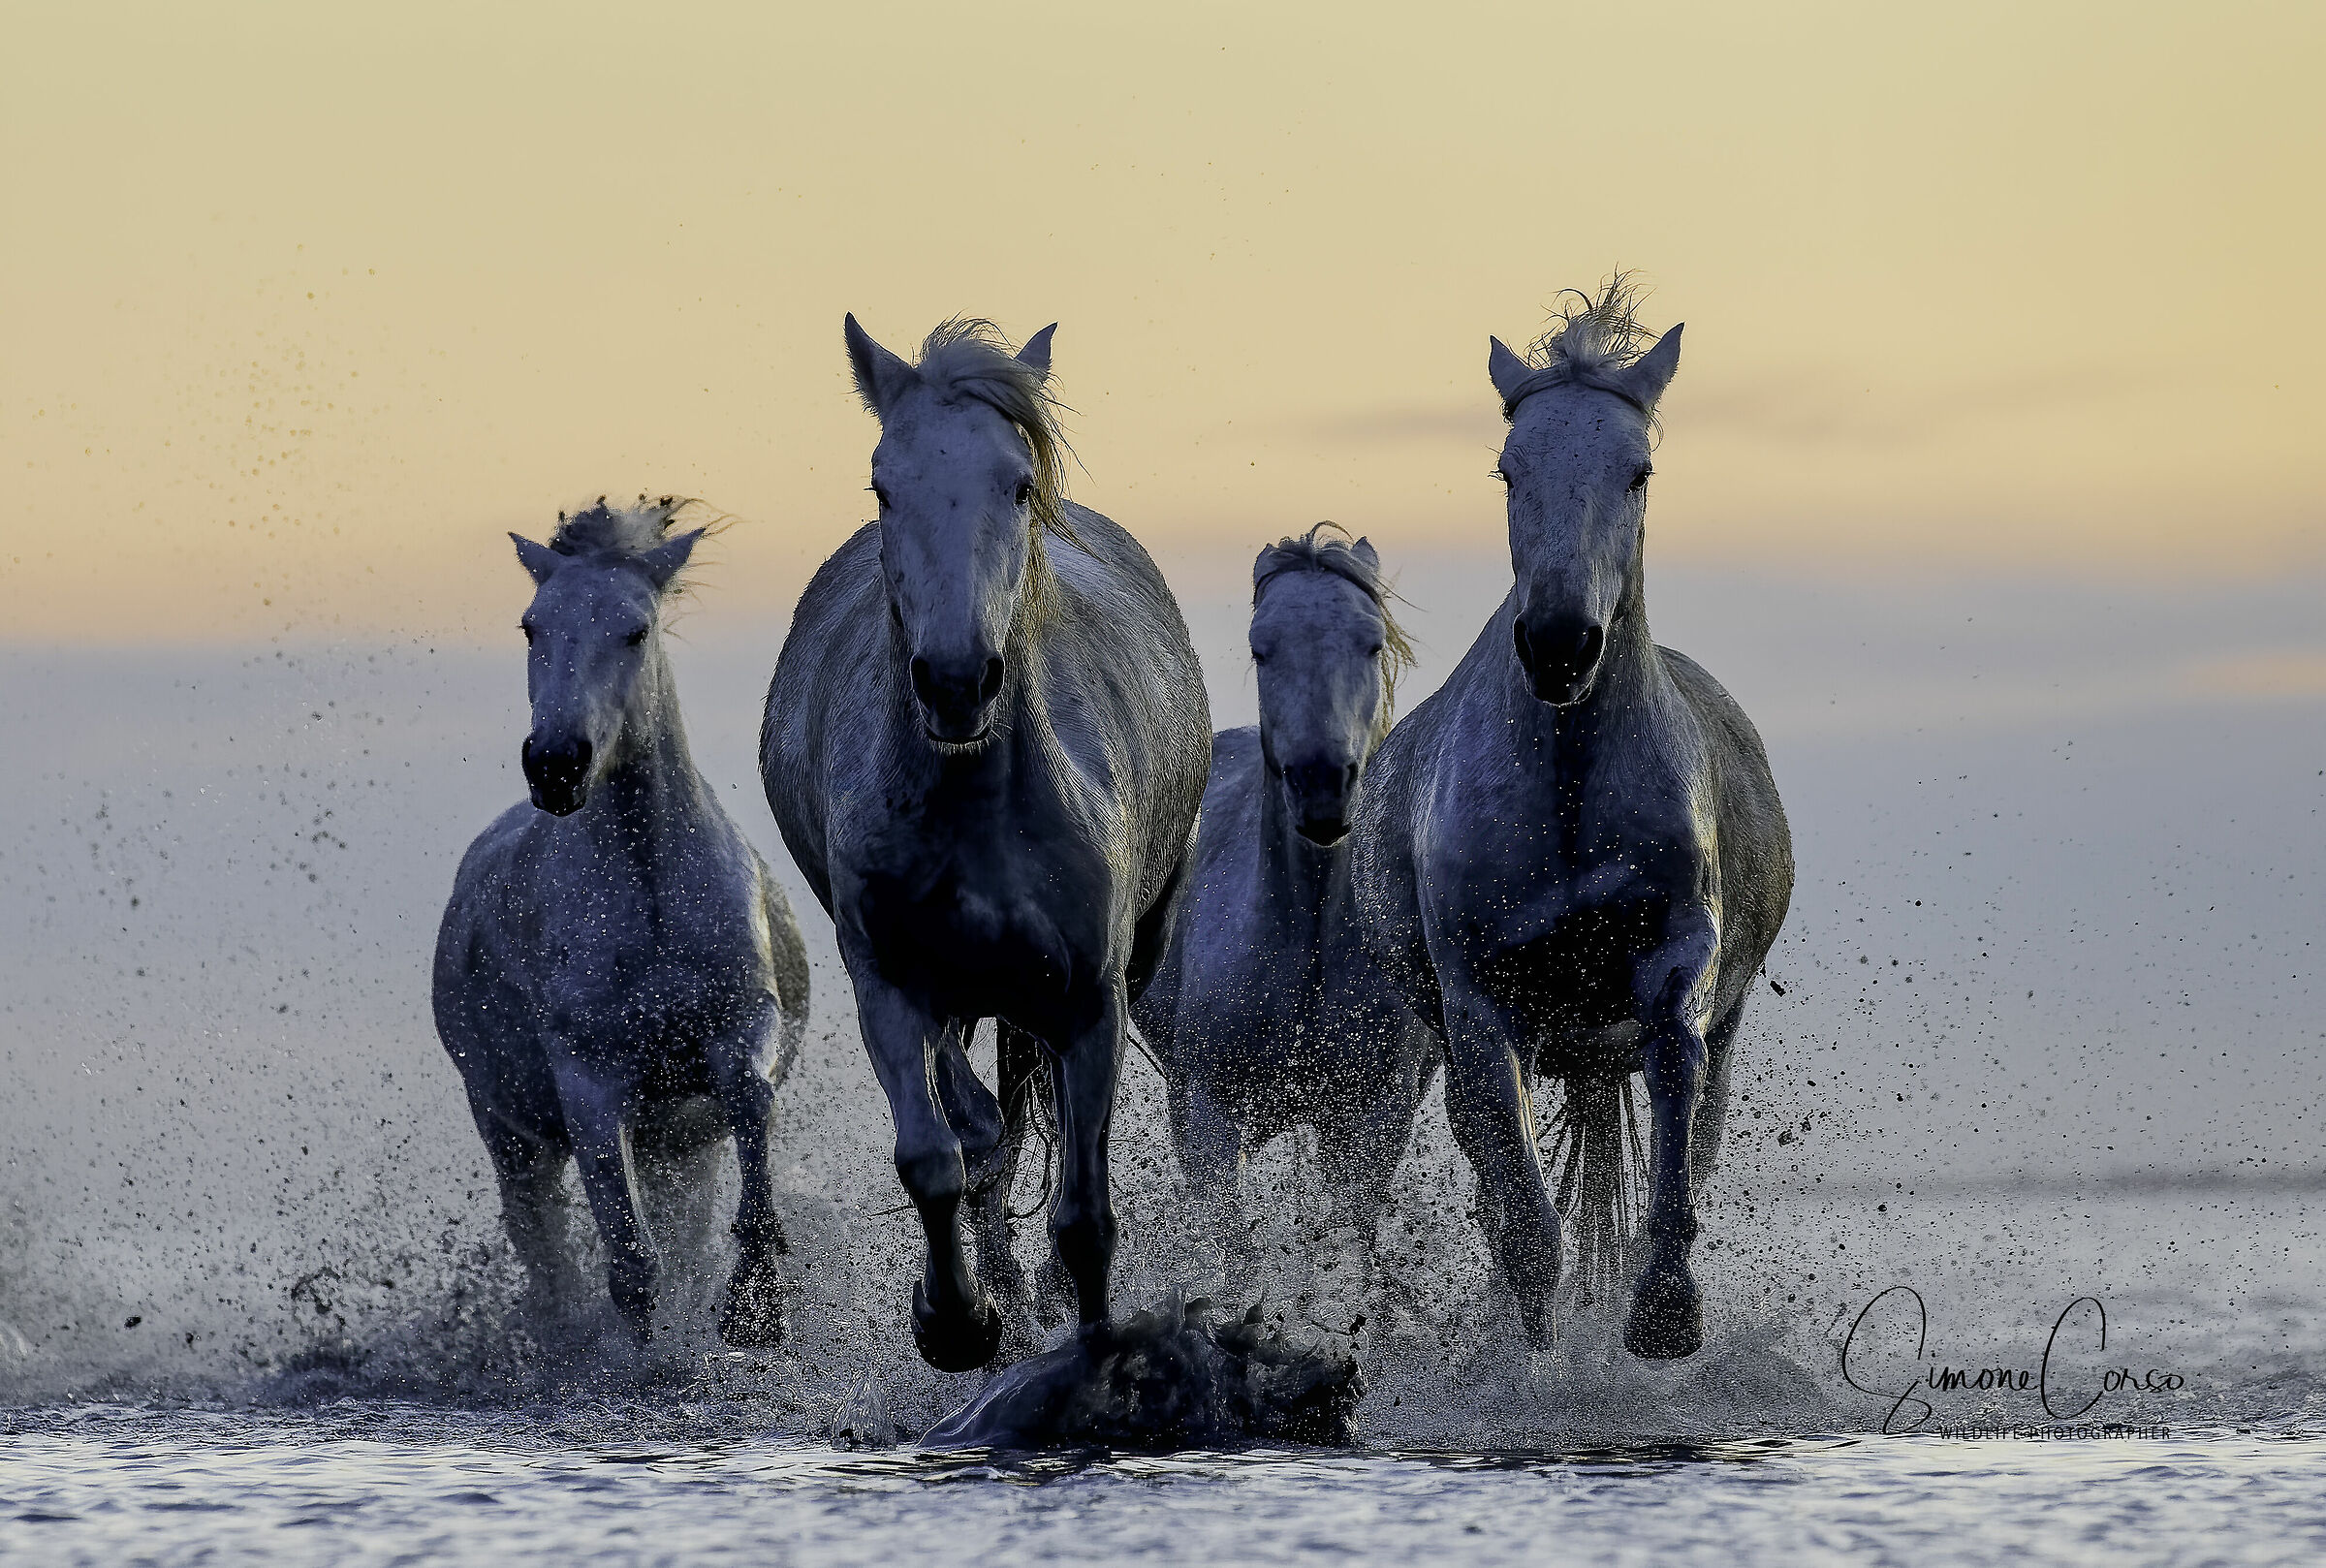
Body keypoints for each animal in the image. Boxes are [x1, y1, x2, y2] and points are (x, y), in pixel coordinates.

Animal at [434, 498, 812, 1346]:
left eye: (635, 630)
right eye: (531, 626)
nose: (556, 764)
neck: (648, 902)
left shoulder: (742, 1026)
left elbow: (751, 1101)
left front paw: (756, 1302)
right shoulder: (589, 1083)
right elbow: (632, 1265)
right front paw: (647, 1357)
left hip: (677, 1144)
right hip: (513, 1136)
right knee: (546, 1254)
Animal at [761, 317, 1210, 1372]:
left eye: (1015, 483)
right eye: (884, 485)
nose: (957, 681)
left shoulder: (1089, 1001)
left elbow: (1083, 1212)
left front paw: (1086, 1343)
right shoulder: (889, 983)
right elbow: (937, 1155)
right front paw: (957, 1322)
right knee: (980, 1132)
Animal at [1131, 524, 1435, 1277]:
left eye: (1371, 643)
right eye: (1261, 647)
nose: (1323, 786)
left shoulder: (1373, 1120)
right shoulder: (1207, 1114)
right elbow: (1230, 1250)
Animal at [1351, 279, 1793, 1358]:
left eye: (1638, 470)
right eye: (1510, 468)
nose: (1560, 643)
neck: (1569, 790)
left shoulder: (1675, 960)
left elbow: (1672, 1121)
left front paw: (1665, 1312)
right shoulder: (1479, 1007)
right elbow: (1523, 1225)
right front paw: (1534, 1362)